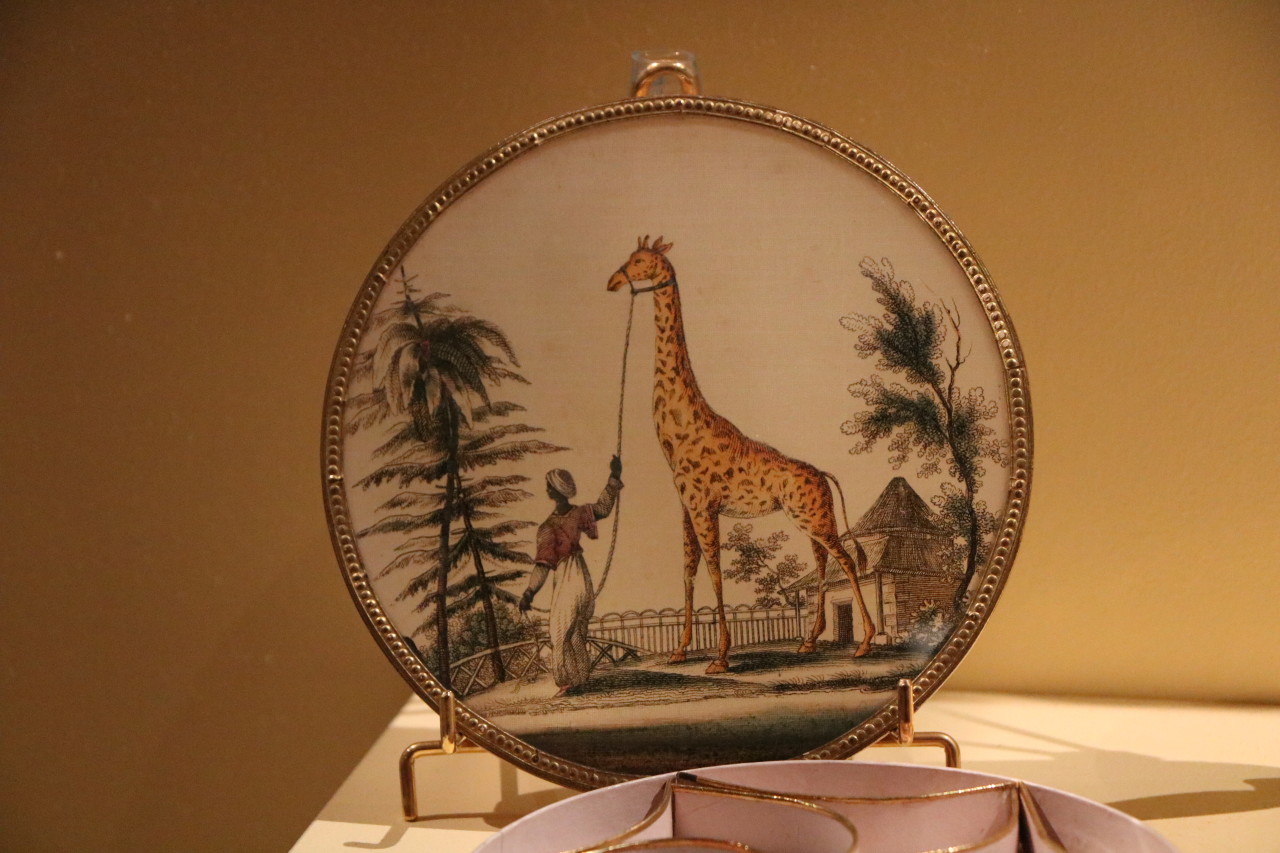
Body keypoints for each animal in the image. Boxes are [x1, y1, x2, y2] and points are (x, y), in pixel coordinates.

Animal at [607, 236, 877, 674]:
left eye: (640, 261)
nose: (613, 281)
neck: (680, 433)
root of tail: (823, 474)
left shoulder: (704, 506)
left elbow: (715, 573)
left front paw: (720, 657)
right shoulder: (687, 507)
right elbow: (688, 572)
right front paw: (681, 650)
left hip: (814, 518)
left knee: (848, 562)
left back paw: (865, 642)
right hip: (811, 518)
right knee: (823, 563)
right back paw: (809, 641)